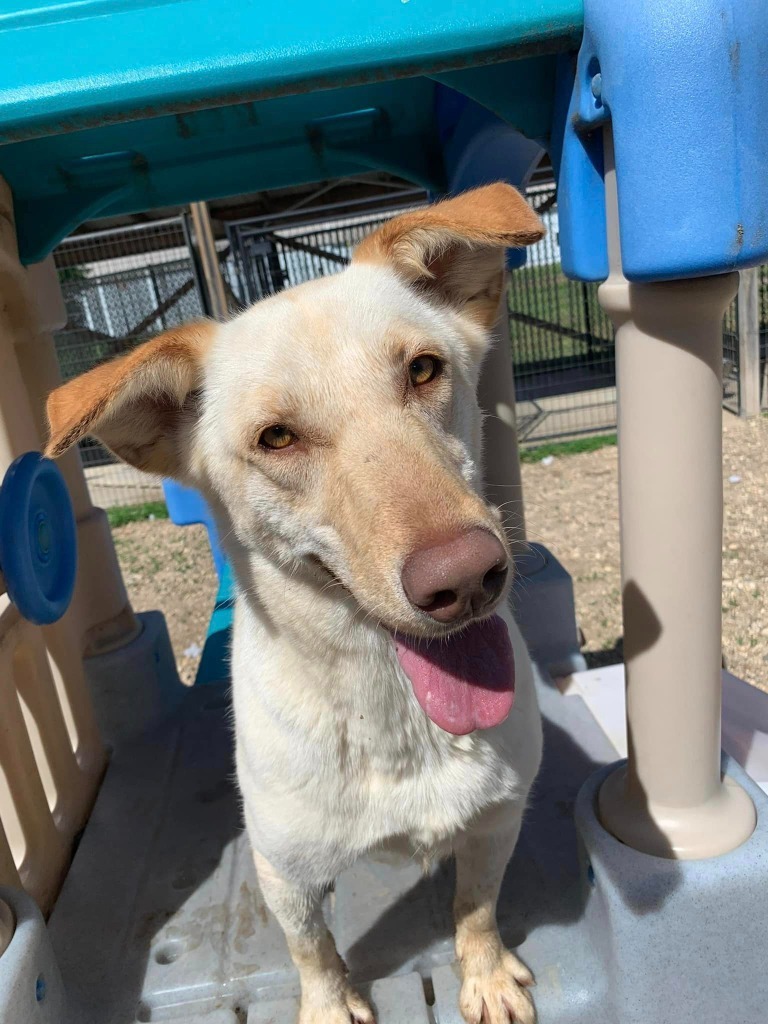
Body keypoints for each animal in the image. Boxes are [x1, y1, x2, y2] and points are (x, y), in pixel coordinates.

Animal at [46, 184, 548, 1024]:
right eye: (275, 438)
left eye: (424, 369)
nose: (467, 577)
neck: (393, 713)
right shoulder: (286, 869)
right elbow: (312, 949)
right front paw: (331, 1006)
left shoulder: (498, 819)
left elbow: (476, 905)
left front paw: (484, 975)